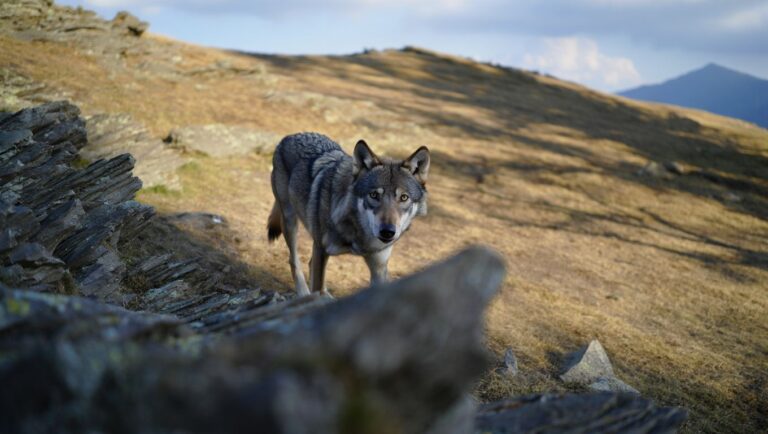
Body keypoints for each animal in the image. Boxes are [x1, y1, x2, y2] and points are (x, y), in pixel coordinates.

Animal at [267, 132, 430, 296]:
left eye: (404, 197)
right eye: (374, 195)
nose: (387, 232)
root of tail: (289, 137)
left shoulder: (379, 267)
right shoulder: (321, 249)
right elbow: (316, 285)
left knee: (310, 264)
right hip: (290, 221)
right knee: (294, 260)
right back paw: (303, 293)